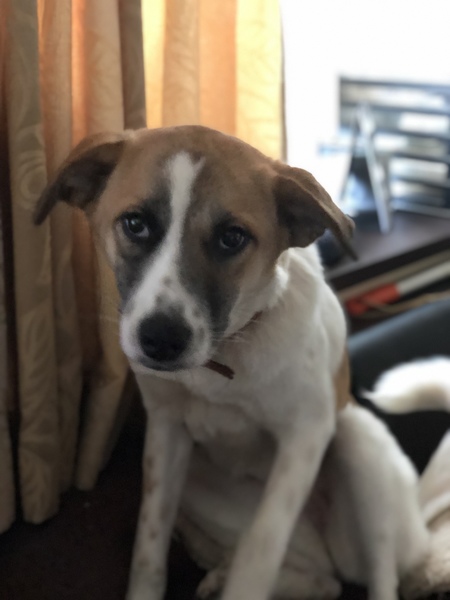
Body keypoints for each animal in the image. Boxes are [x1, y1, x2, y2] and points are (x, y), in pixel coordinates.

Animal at [34, 125, 428, 600]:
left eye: (232, 237)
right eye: (135, 223)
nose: (161, 340)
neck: (223, 357)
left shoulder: (306, 436)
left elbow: (260, 549)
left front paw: (243, 580)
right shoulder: (165, 430)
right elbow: (149, 545)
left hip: (357, 437)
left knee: (379, 575)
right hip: (201, 486)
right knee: (323, 581)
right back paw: (231, 576)